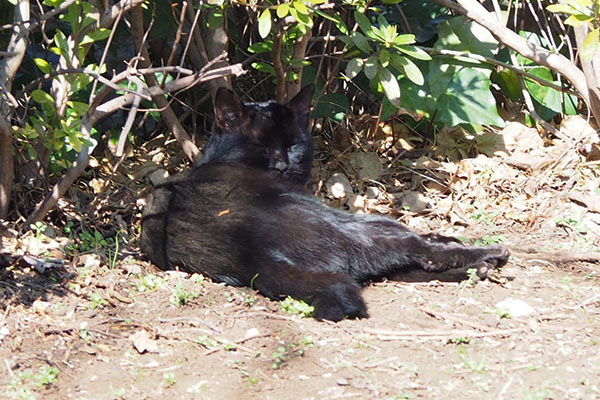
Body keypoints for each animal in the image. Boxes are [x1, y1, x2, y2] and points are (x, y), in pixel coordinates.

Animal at [139, 85, 506, 322]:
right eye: (261, 146)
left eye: (293, 144)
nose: (282, 164)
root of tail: (249, 254)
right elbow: (414, 236)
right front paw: (454, 241)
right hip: (339, 227)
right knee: (414, 251)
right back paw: (489, 254)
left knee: (403, 264)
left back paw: (477, 269)